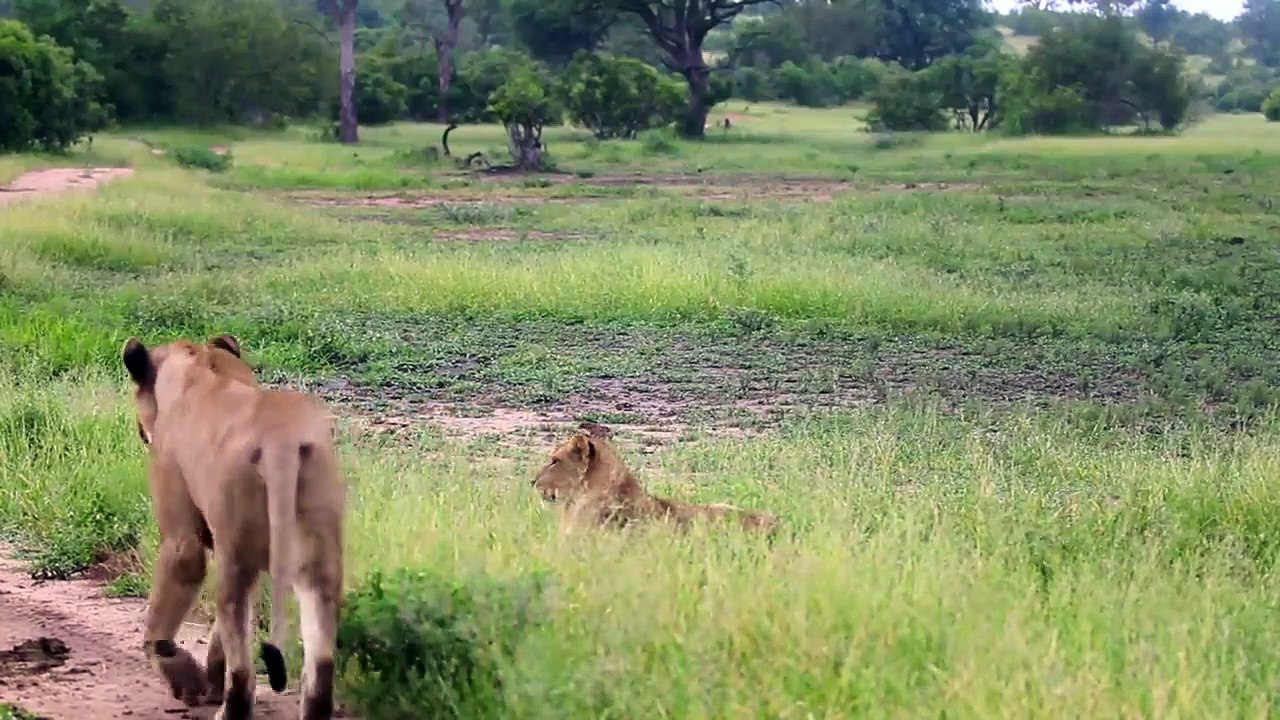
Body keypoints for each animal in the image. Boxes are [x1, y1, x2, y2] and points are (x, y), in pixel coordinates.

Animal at [122, 334, 345, 720]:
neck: (197, 363)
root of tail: (280, 441)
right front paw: (211, 680)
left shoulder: (184, 537)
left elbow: (160, 619)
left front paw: (185, 678)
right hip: (318, 560)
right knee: (321, 664)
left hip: (236, 555)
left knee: (241, 668)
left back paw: (229, 710)